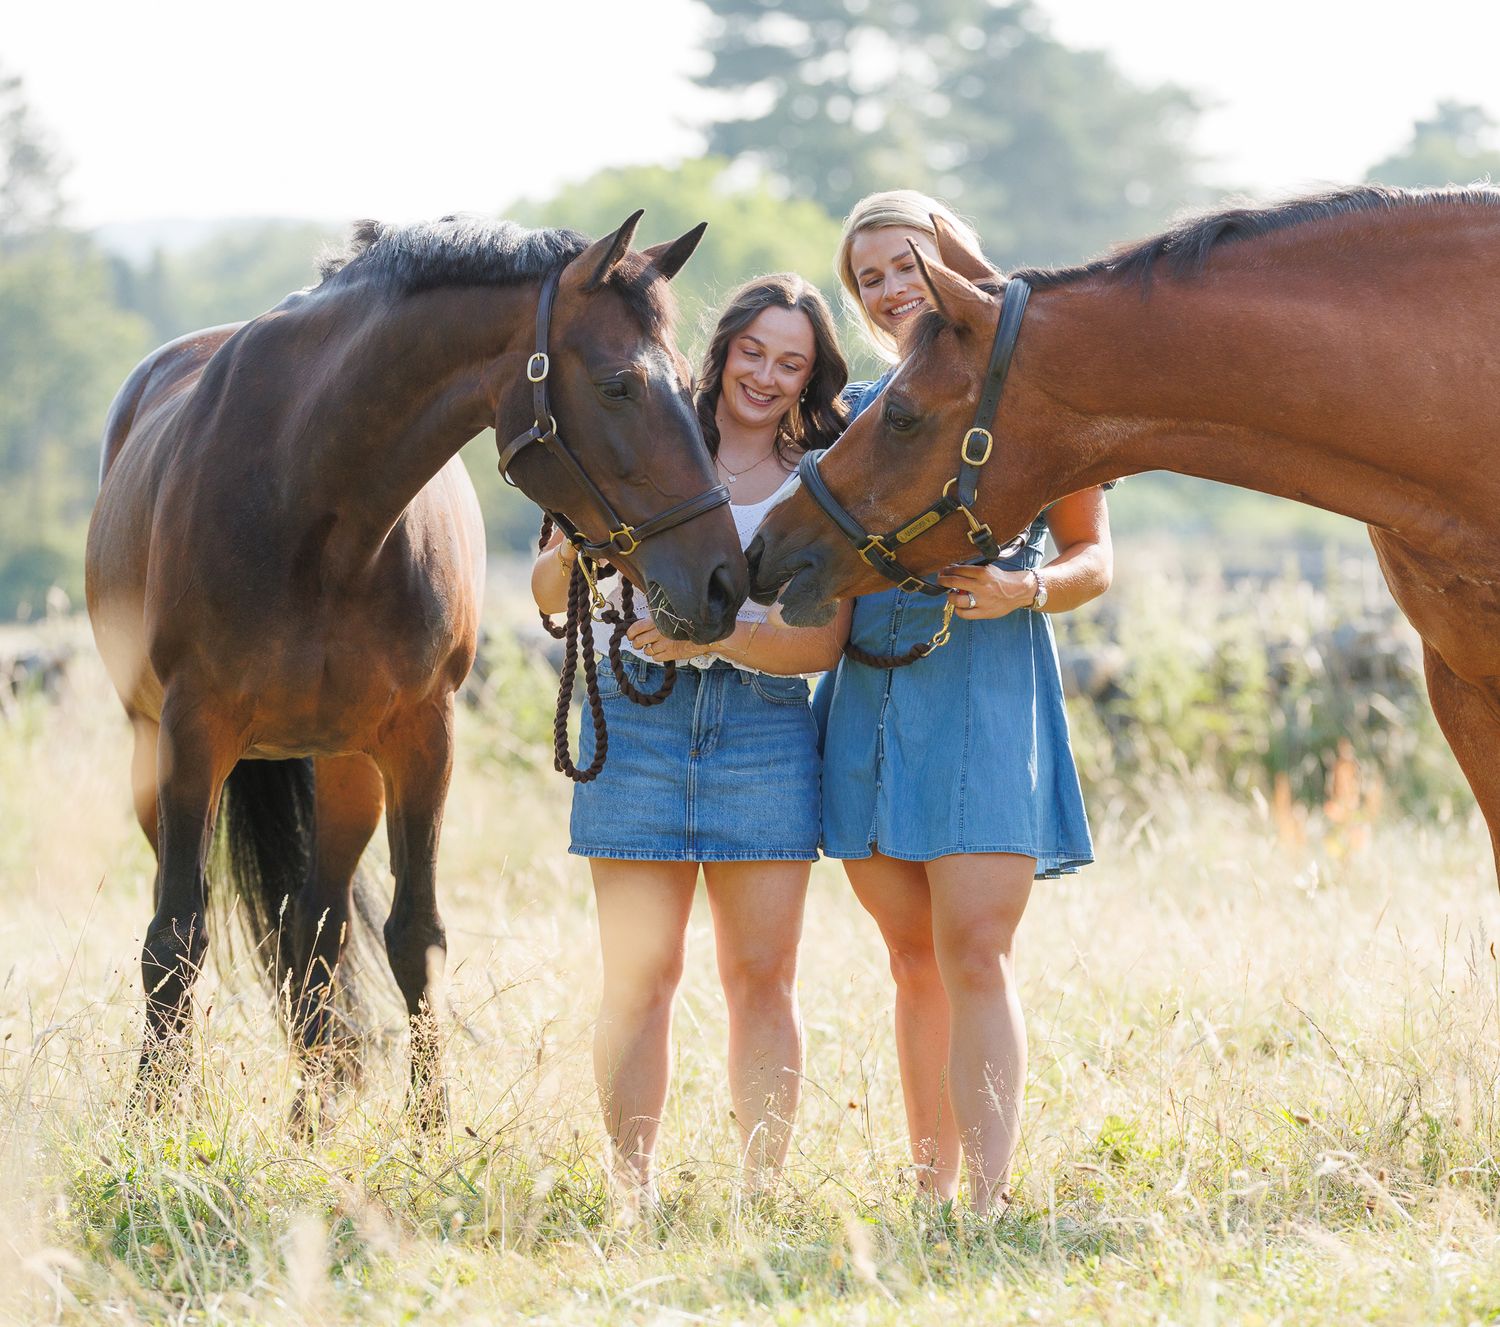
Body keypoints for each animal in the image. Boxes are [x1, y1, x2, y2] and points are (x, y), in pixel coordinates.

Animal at [86, 211, 747, 1127]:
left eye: (689, 385)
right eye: (619, 386)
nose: (724, 582)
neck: (315, 503)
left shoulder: (420, 738)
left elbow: (415, 933)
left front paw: (432, 1129)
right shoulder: (191, 735)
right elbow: (176, 933)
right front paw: (154, 1120)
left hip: (345, 767)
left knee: (317, 929)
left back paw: (313, 1115)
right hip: (154, 750)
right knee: (201, 922)